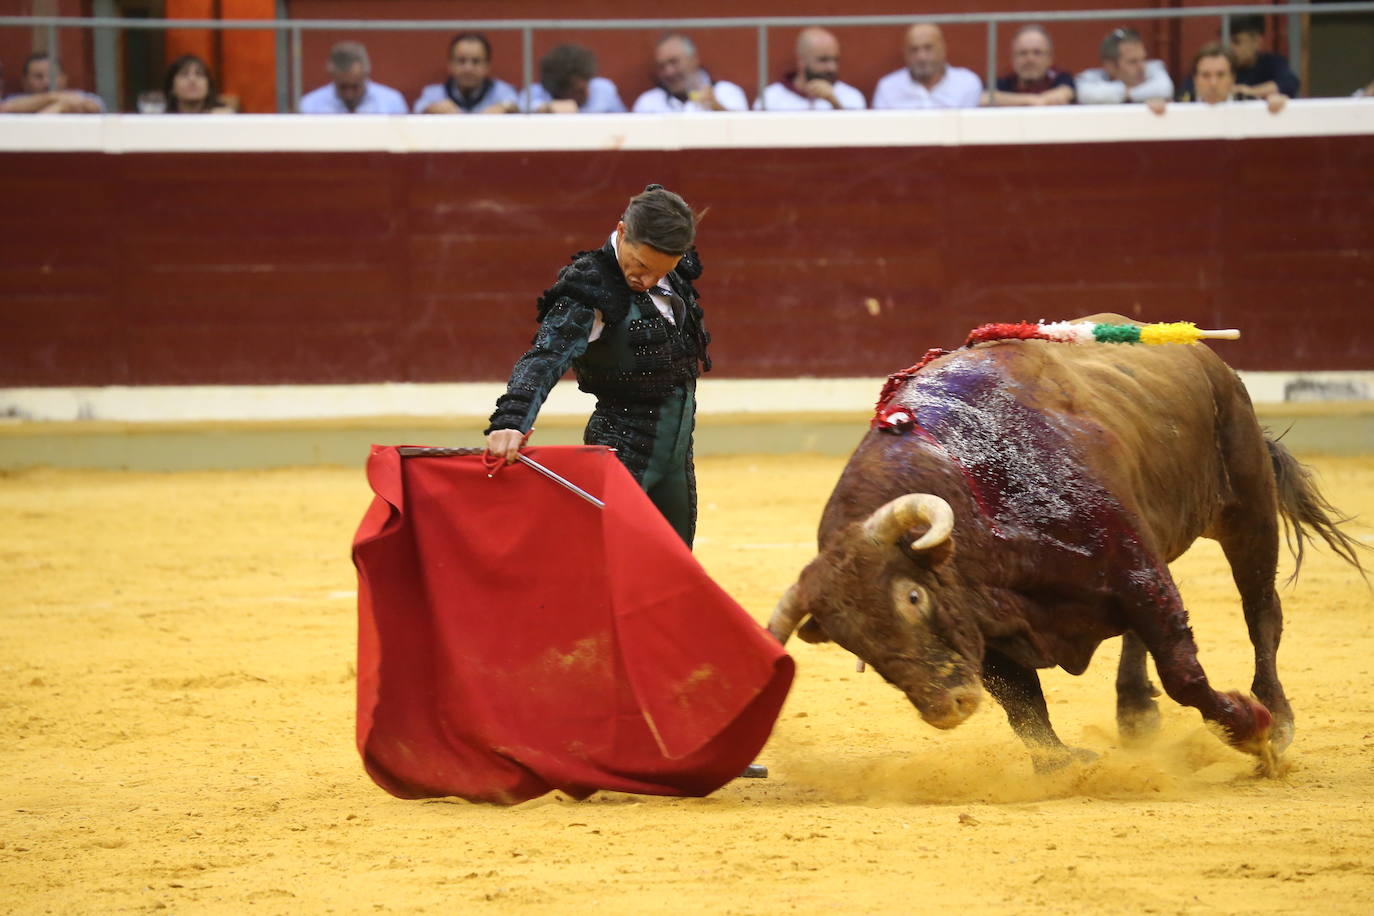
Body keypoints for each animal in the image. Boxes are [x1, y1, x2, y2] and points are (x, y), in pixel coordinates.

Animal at [774, 317, 1363, 774]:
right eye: (852, 641)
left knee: (1261, 611)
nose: (948, 706)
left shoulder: (1134, 569)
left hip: (1247, 505)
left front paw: (1251, 730)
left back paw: (1277, 716)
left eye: (913, 597)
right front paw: (1062, 765)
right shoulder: (988, 627)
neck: (975, 491)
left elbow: (1183, 673)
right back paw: (1135, 713)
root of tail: (1206, 357)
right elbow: (1023, 705)